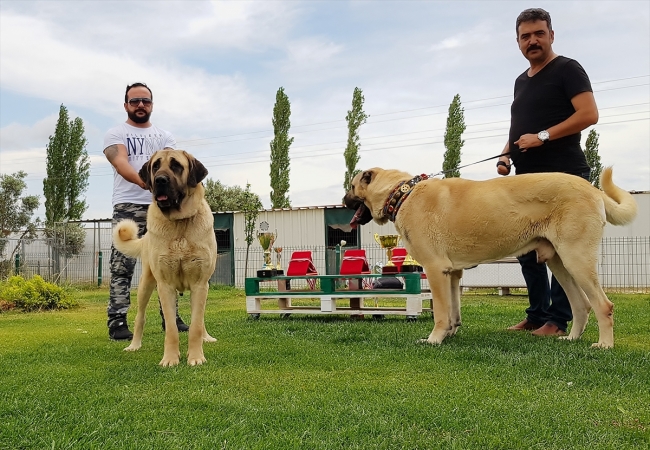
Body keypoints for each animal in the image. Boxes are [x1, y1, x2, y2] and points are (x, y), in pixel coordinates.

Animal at [112, 149, 216, 364]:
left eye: (176, 165)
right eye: (155, 166)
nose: (159, 180)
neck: (180, 223)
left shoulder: (200, 284)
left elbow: (196, 325)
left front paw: (196, 357)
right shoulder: (165, 286)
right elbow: (171, 328)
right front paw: (170, 359)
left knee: (200, 319)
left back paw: (207, 337)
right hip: (146, 284)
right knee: (140, 317)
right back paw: (134, 345)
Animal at [342, 168, 636, 348]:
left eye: (352, 186)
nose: (343, 201)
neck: (402, 194)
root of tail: (594, 189)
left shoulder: (436, 270)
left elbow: (440, 312)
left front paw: (434, 339)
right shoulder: (452, 273)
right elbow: (453, 310)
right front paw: (450, 333)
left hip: (576, 258)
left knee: (603, 305)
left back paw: (604, 345)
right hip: (559, 262)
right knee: (581, 305)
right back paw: (572, 339)